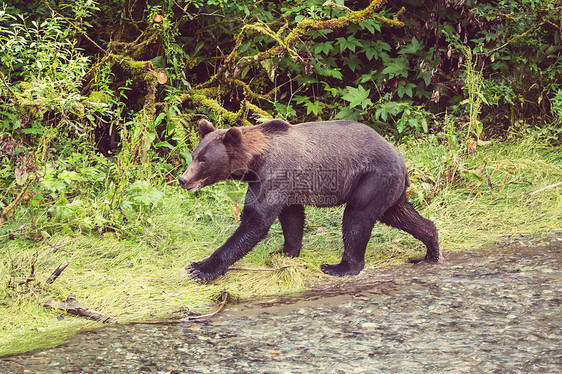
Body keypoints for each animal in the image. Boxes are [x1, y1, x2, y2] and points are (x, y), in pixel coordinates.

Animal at [178, 119, 438, 280]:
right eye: (194, 154)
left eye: (204, 160)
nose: (183, 179)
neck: (254, 161)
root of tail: (402, 160)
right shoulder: (288, 185)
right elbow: (291, 217)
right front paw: (284, 252)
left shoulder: (273, 174)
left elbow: (255, 221)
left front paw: (199, 268)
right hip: (388, 188)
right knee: (400, 214)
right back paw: (431, 248)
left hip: (371, 179)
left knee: (357, 218)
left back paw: (340, 267)